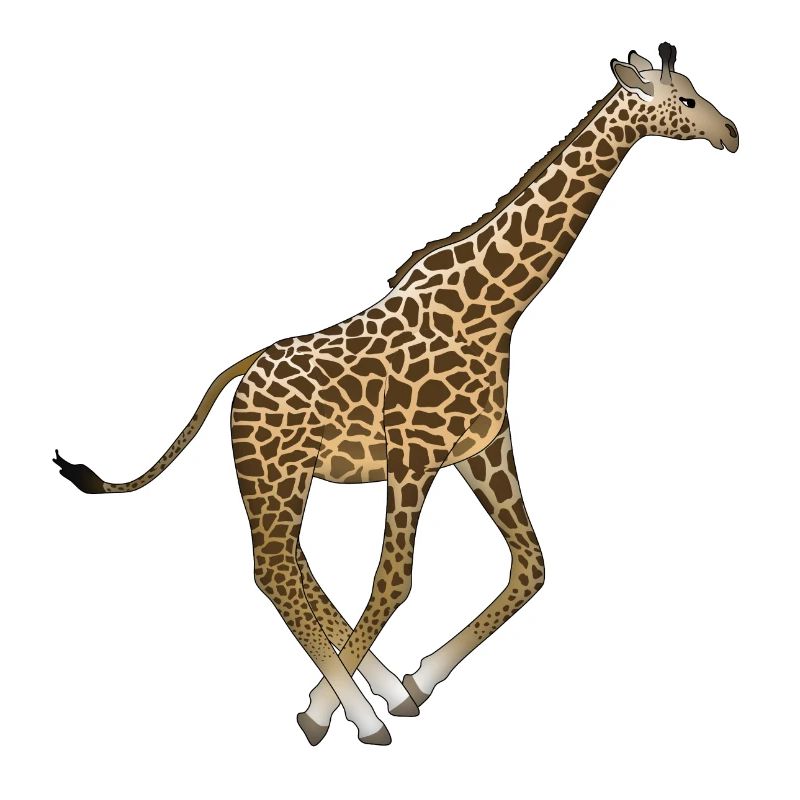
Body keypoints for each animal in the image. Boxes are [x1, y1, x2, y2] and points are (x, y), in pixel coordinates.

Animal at [54, 43, 738, 745]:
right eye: (685, 98)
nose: (731, 133)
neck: (495, 309)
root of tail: (242, 371)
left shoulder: (483, 447)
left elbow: (531, 565)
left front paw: (413, 684)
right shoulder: (412, 456)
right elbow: (395, 580)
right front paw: (326, 712)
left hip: (283, 477)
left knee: (296, 567)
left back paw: (372, 689)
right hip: (274, 474)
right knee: (275, 571)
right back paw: (355, 709)